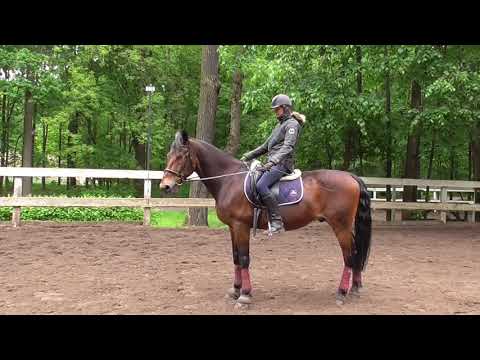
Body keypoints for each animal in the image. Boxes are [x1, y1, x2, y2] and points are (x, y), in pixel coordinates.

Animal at [160, 129, 372, 306]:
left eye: (181, 156)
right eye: (169, 156)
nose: (165, 186)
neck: (229, 179)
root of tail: (351, 177)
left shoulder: (241, 226)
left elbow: (244, 258)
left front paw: (245, 296)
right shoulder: (232, 227)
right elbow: (236, 258)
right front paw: (235, 290)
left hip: (340, 225)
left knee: (349, 256)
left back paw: (341, 293)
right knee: (355, 252)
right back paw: (354, 288)